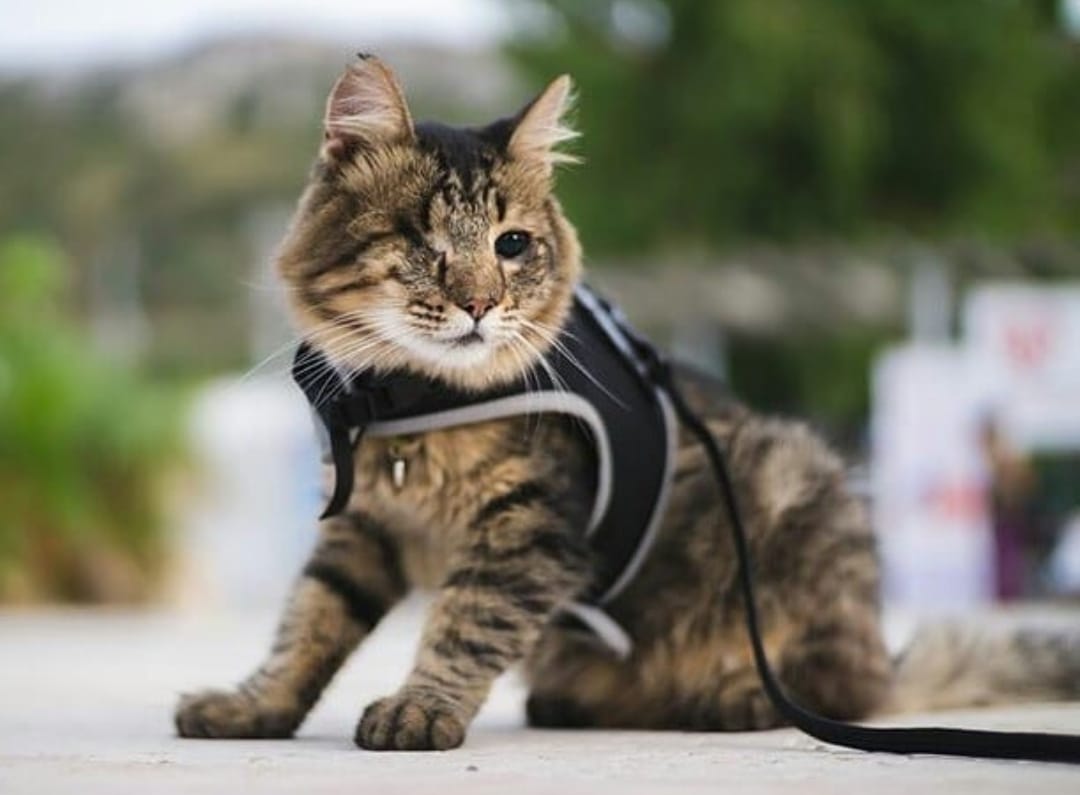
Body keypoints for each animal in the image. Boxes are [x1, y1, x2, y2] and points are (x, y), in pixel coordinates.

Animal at [175, 55, 1080, 751]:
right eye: (423, 245)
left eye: (511, 245)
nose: (478, 303)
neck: (409, 403)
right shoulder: (363, 527)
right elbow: (306, 626)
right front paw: (253, 706)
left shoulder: (530, 529)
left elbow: (464, 623)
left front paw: (420, 707)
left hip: (799, 500)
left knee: (836, 690)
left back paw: (732, 698)